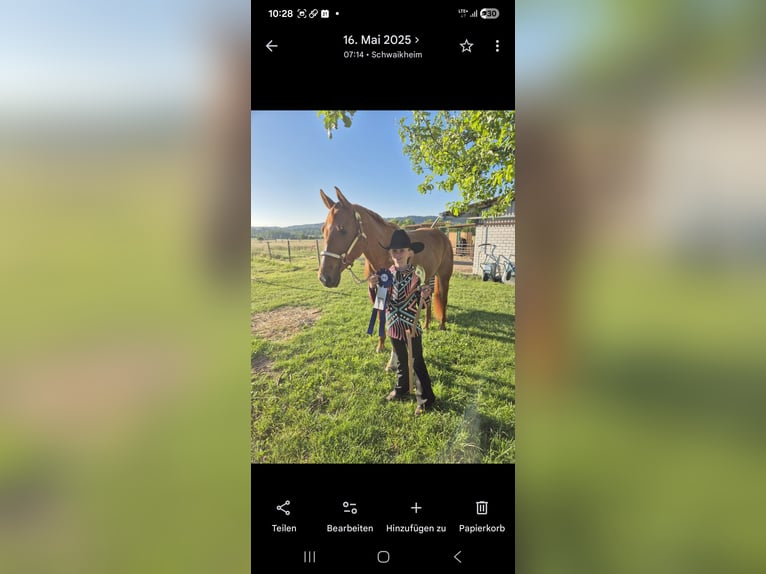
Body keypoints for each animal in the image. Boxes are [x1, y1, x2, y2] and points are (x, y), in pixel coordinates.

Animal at [318, 186, 454, 353]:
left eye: (342, 229)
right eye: (323, 229)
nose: (325, 277)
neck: (385, 252)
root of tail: (442, 235)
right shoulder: (376, 288)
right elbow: (379, 315)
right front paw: (381, 345)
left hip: (444, 276)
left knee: (443, 298)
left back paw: (442, 325)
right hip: (427, 278)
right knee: (427, 300)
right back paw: (427, 324)